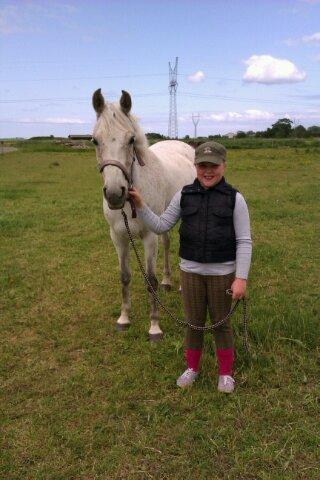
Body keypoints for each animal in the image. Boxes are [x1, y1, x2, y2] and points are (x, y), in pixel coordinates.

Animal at [90, 88, 195, 340]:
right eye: (95, 140)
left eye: (131, 140)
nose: (115, 193)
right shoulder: (118, 237)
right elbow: (125, 276)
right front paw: (124, 318)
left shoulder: (148, 237)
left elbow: (150, 280)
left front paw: (154, 326)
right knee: (167, 243)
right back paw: (168, 281)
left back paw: (178, 285)